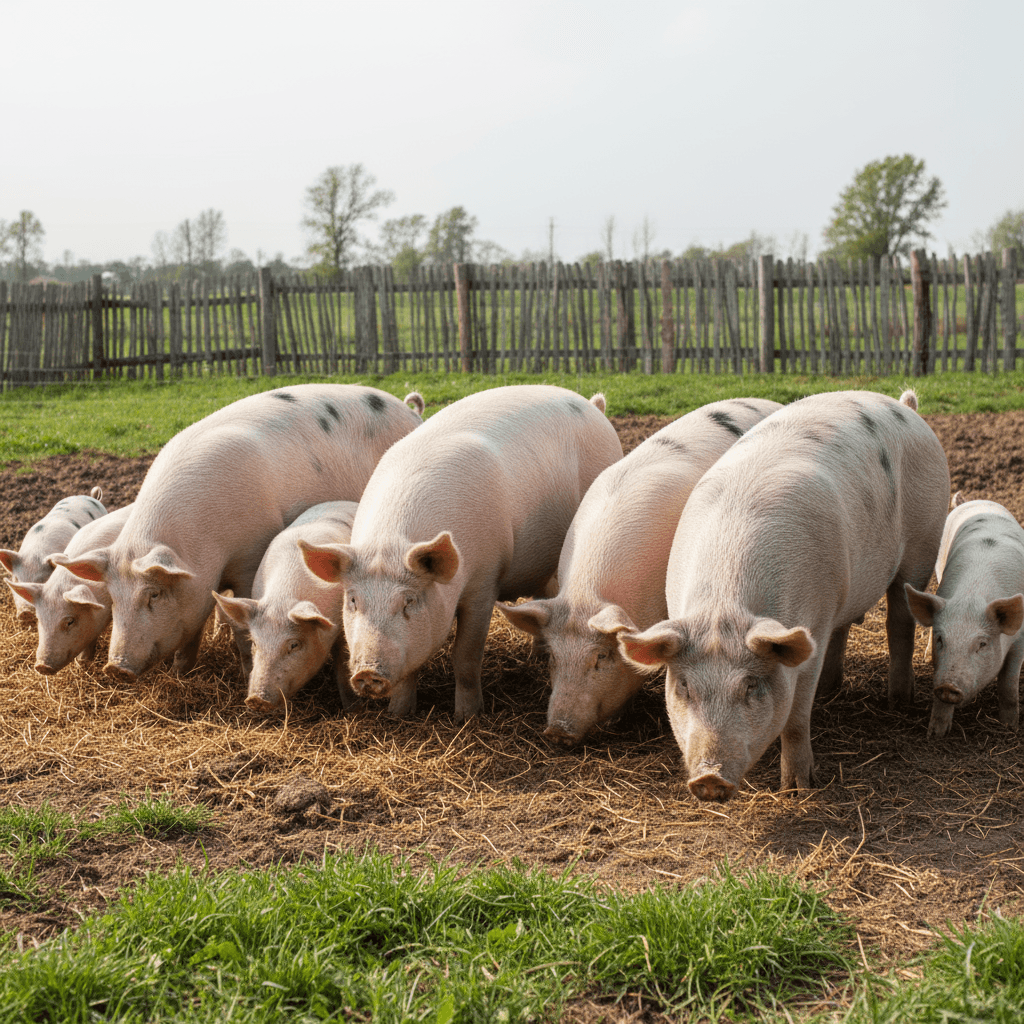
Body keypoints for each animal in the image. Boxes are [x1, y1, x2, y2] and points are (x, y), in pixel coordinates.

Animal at [52, 385, 423, 683]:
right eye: (113, 598)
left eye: (153, 594)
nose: (116, 667)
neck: (205, 547)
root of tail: (410, 411)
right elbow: (194, 627)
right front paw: (182, 673)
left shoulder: (251, 555)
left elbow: (244, 626)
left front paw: (244, 671)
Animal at [212, 500, 359, 712]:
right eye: (255, 643)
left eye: (294, 644)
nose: (255, 699)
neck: (282, 599)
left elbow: (342, 666)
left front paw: (352, 709)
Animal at [299, 384, 624, 722]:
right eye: (352, 601)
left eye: (408, 602)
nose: (366, 673)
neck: (389, 545)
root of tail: (591, 405)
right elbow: (410, 670)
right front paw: (398, 715)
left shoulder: (485, 579)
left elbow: (465, 654)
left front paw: (467, 717)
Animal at [616, 389, 949, 802]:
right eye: (684, 687)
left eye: (750, 686)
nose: (709, 779)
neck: (724, 606)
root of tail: (904, 407)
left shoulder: (811, 631)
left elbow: (795, 717)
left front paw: (797, 789)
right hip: (843, 588)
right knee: (845, 626)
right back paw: (831, 689)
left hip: (923, 544)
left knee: (899, 620)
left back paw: (899, 700)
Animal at [905, 499, 1024, 738]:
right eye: (941, 639)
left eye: (982, 644)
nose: (948, 686)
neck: (972, 595)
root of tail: (979, 501)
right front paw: (935, 735)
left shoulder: (1020, 640)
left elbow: (1008, 685)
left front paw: (1010, 727)